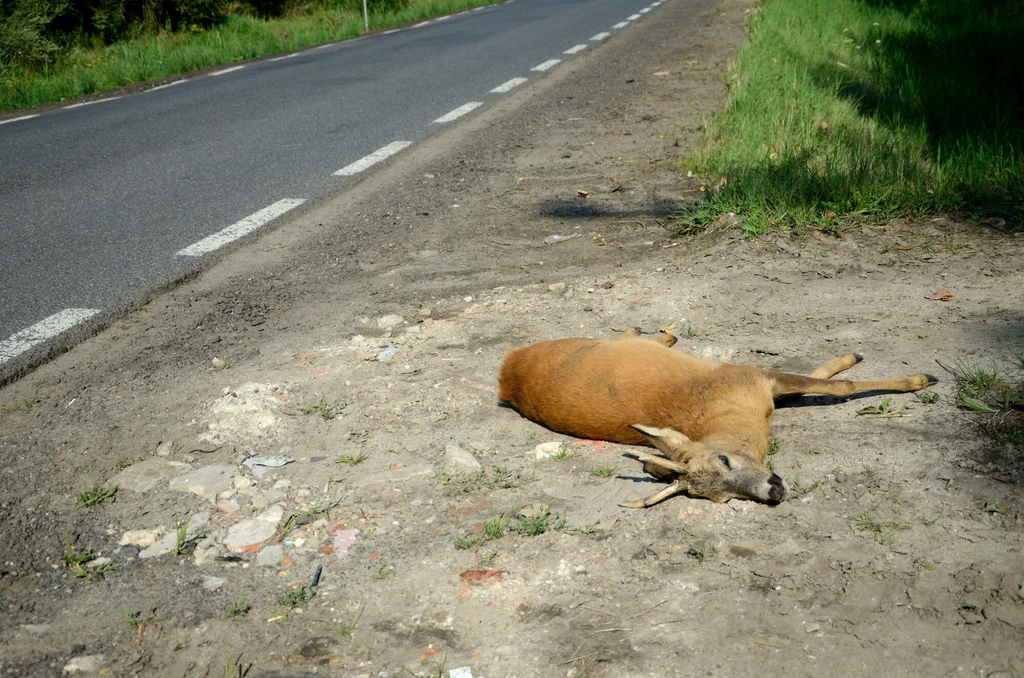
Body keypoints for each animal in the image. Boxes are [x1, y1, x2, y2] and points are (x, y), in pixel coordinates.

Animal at [495, 329, 937, 510]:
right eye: (723, 498)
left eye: (725, 459)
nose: (773, 491)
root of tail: (505, 371)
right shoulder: (754, 382)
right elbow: (820, 386)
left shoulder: (749, 375)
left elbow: (836, 386)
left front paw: (919, 378)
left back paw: (660, 334)